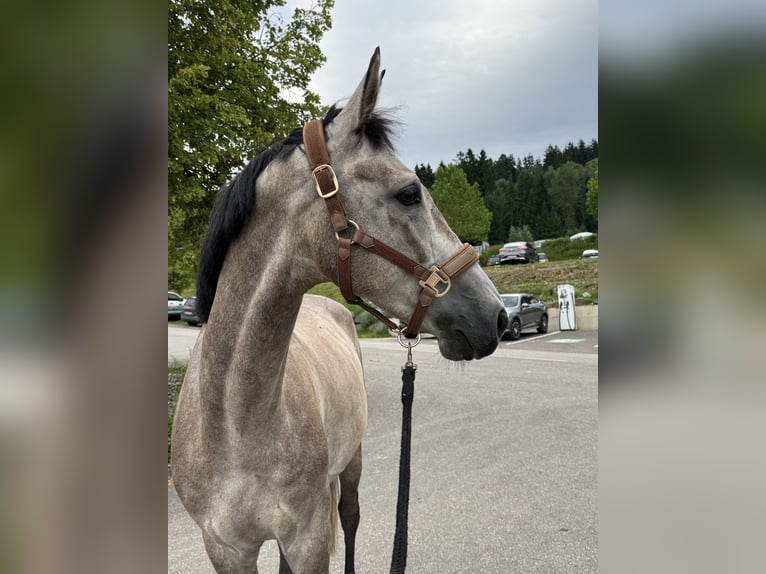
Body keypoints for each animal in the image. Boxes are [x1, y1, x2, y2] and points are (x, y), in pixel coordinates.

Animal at [171, 48, 508, 573]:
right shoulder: (226, 550)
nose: (496, 316)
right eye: (409, 192)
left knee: (349, 517)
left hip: (351, 464)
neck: (234, 422)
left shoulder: (308, 540)